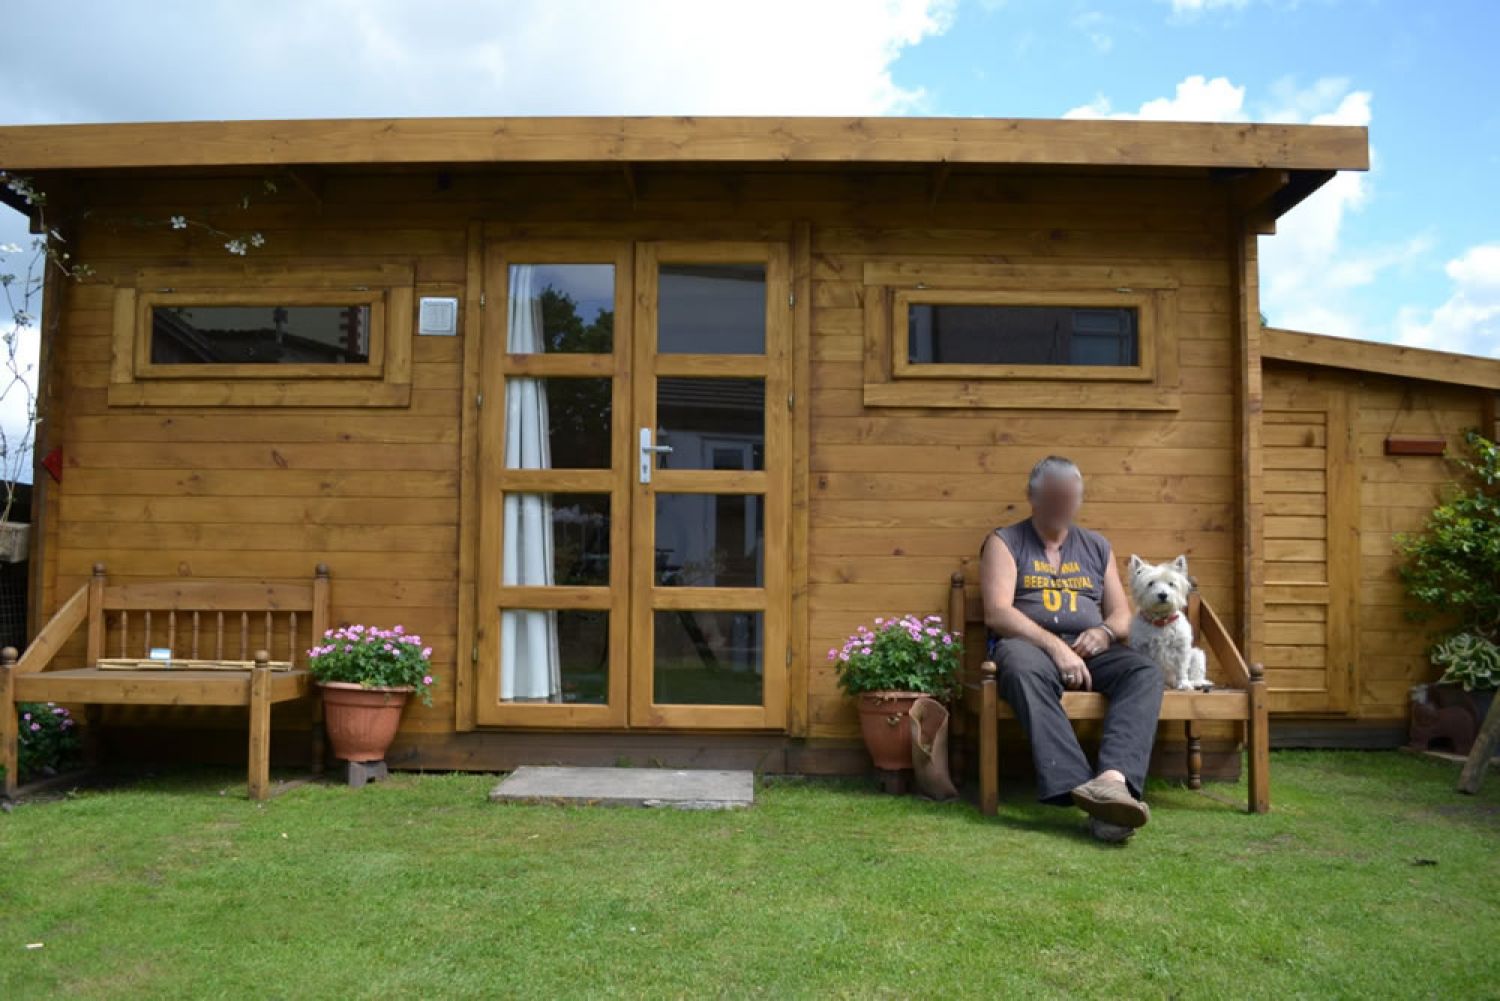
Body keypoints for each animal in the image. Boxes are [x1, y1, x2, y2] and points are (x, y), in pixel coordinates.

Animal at [1128, 555, 1206, 690]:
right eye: (1150, 583)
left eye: (1171, 584)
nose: (1163, 595)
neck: (1161, 620)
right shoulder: (1141, 647)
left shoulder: (1181, 647)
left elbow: (1181, 668)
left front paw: (1184, 684)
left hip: (1197, 655)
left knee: (1196, 671)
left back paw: (1197, 683)